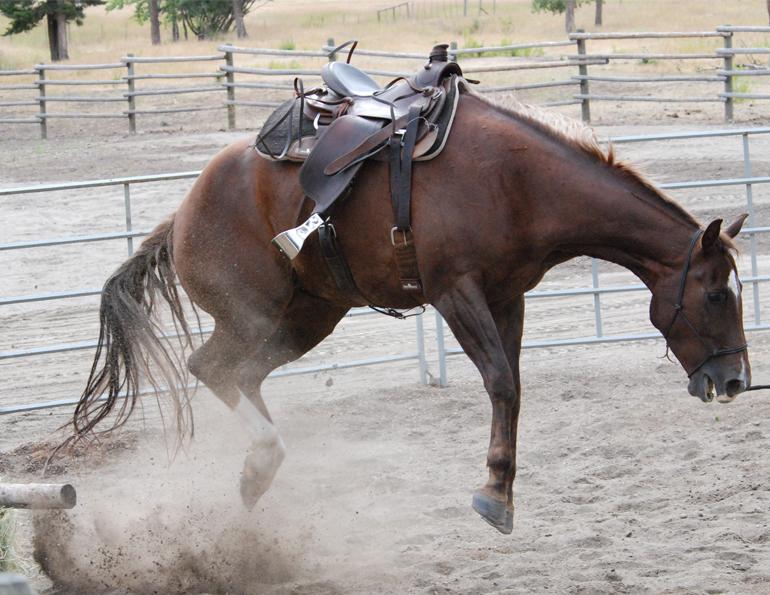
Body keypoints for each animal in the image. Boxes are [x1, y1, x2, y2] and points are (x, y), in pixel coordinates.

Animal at [69, 86, 751, 534]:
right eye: (717, 293)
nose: (736, 380)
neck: (520, 183)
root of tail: (183, 211)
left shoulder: (506, 297)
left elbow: (512, 386)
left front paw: (501, 491)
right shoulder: (456, 293)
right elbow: (501, 382)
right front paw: (493, 494)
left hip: (308, 317)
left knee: (239, 374)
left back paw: (257, 473)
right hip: (254, 314)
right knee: (211, 368)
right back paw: (259, 463)